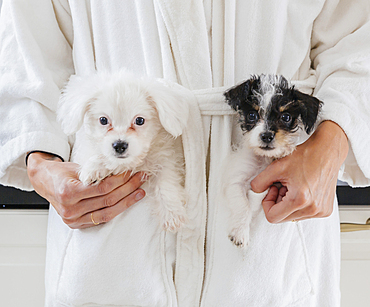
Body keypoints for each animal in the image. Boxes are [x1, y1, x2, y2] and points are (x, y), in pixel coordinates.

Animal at [57, 71, 191, 232]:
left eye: (139, 120)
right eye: (103, 120)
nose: (119, 145)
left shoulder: (165, 158)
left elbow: (166, 182)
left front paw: (172, 214)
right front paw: (93, 168)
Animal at [223, 75, 320, 250]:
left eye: (286, 117)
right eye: (252, 115)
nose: (267, 136)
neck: (264, 158)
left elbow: (254, 201)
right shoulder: (235, 181)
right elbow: (243, 205)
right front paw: (240, 233)